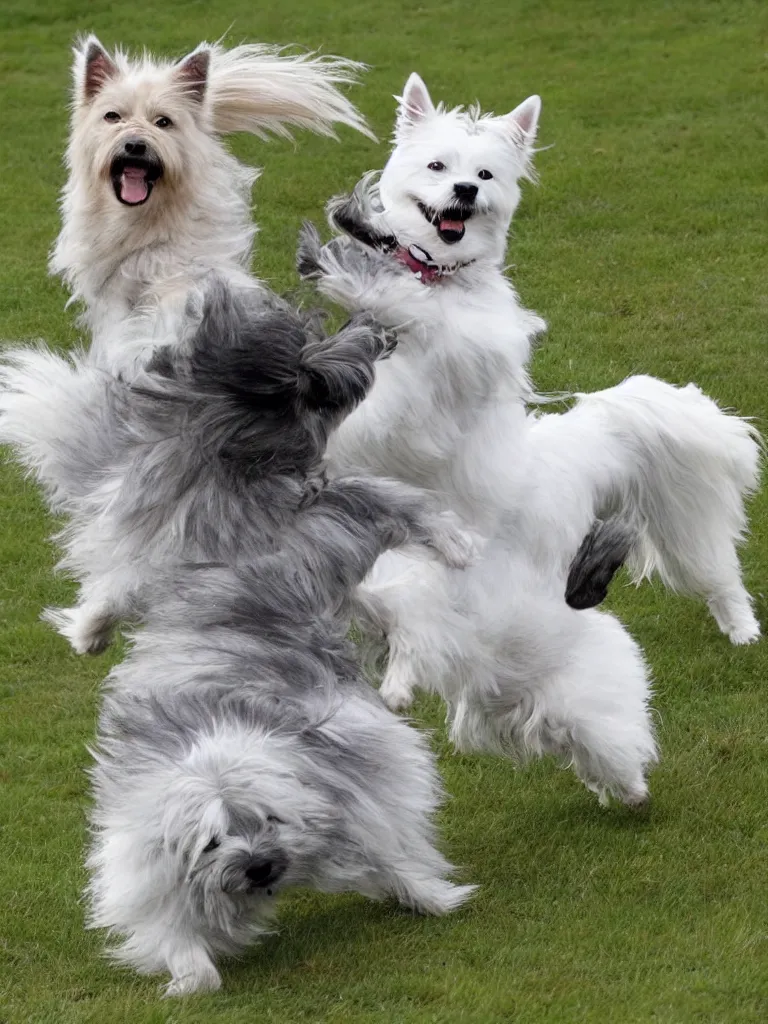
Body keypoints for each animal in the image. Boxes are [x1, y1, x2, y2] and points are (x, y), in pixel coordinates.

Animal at [49, 37, 374, 372]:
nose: (135, 145)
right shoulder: (113, 297)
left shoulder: (181, 279)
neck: (145, 225)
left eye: (163, 122)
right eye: (112, 116)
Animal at [88, 565, 475, 995]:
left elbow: (392, 856)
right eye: (211, 843)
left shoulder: (360, 793)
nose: (257, 867)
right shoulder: (150, 869)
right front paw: (191, 980)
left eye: (270, 820)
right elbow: (181, 941)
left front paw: (434, 898)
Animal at [296, 74, 761, 806]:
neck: (441, 279)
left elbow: (415, 318)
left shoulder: (460, 355)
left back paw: (733, 641)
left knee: (706, 589)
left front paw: (351, 265)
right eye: (438, 167)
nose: (465, 192)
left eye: (485, 175)